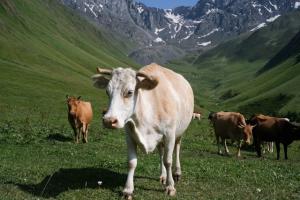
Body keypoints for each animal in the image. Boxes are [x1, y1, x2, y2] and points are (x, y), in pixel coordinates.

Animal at [92, 62, 195, 198]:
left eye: (129, 92)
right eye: (107, 92)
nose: (109, 120)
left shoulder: (169, 134)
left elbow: (168, 161)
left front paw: (170, 186)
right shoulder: (129, 135)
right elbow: (132, 162)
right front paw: (128, 189)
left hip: (180, 131)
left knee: (177, 148)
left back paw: (177, 173)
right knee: (161, 152)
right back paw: (163, 176)